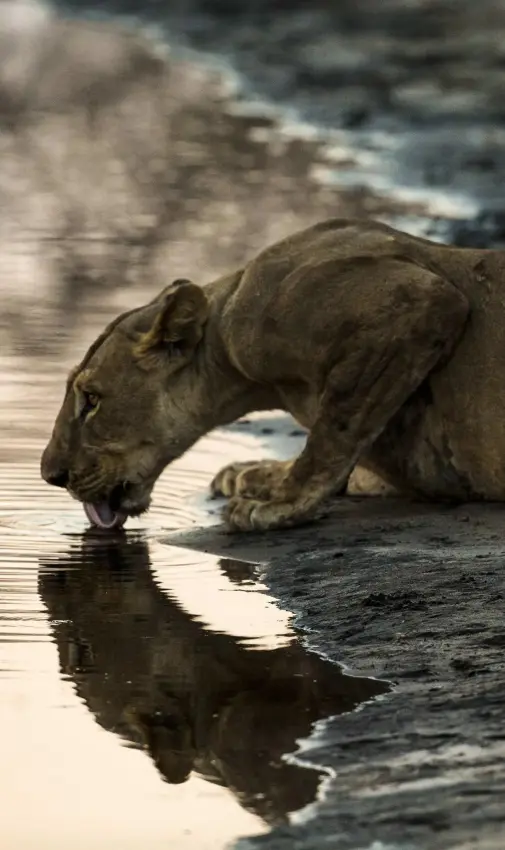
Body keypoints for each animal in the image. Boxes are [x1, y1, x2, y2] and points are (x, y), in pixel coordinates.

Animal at [41, 216, 504, 532]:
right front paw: (260, 472)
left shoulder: (420, 300)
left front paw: (283, 503)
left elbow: (336, 428)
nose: (50, 476)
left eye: (92, 400)